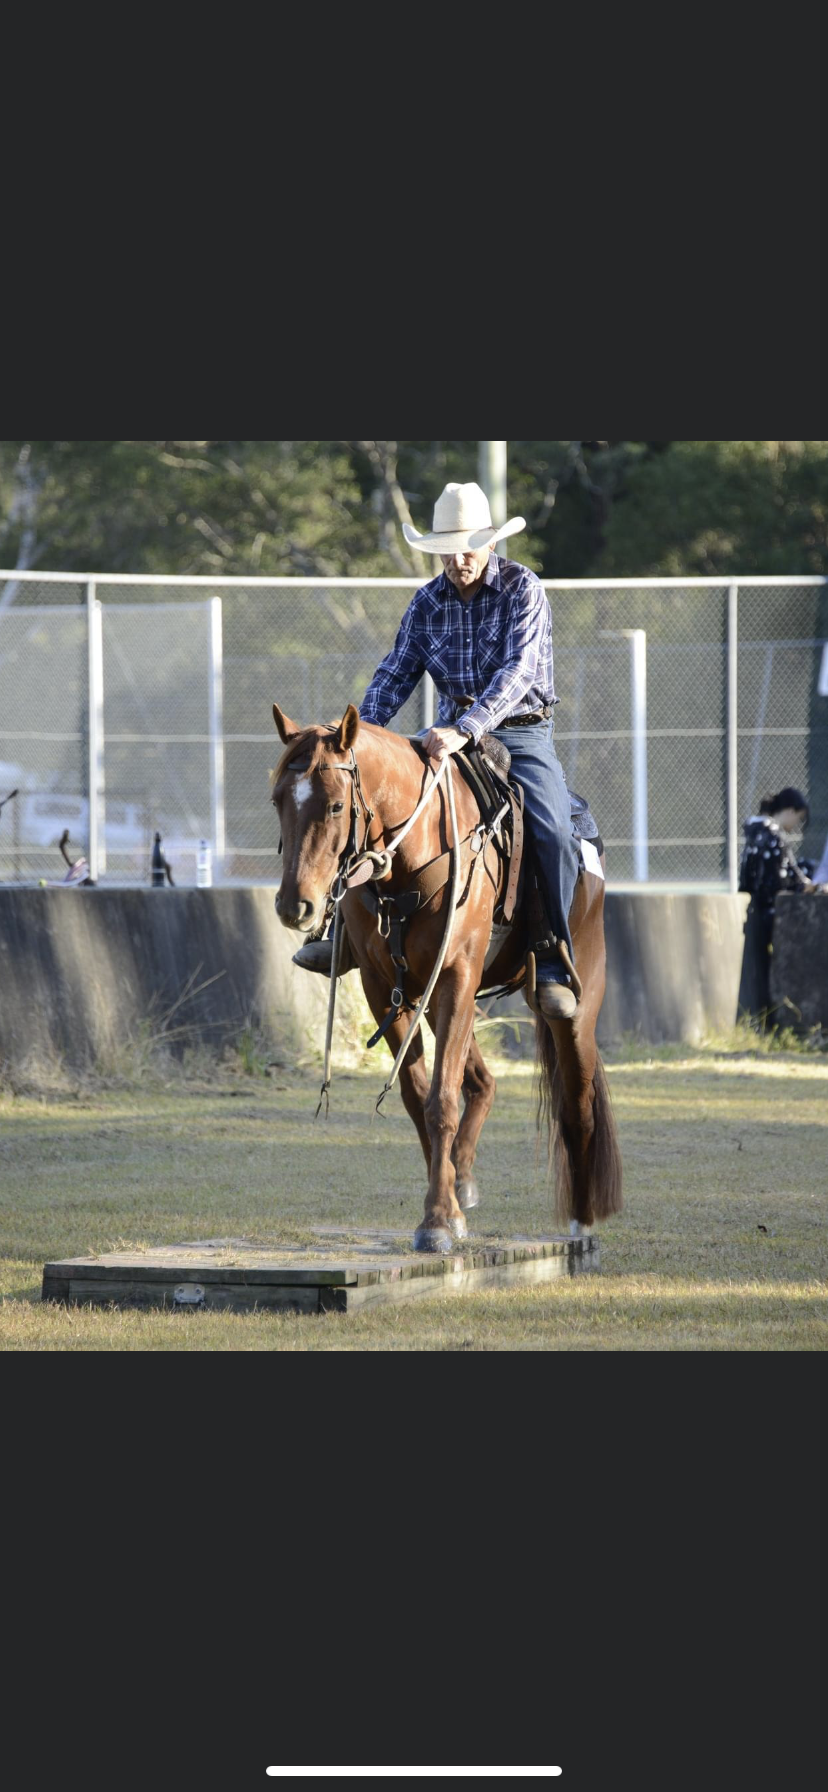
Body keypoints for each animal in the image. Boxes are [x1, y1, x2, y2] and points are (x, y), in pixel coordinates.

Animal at [271, 702, 623, 1253]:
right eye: (278, 800)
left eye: (334, 806)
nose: (295, 906)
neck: (409, 862)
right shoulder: (385, 988)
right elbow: (419, 1097)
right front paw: (448, 1208)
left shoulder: (456, 975)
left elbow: (442, 1100)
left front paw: (436, 1221)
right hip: (434, 1000)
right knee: (483, 1081)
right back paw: (464, 1179)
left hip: (574, 1008)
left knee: (578, 1106)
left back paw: (582, 1224)